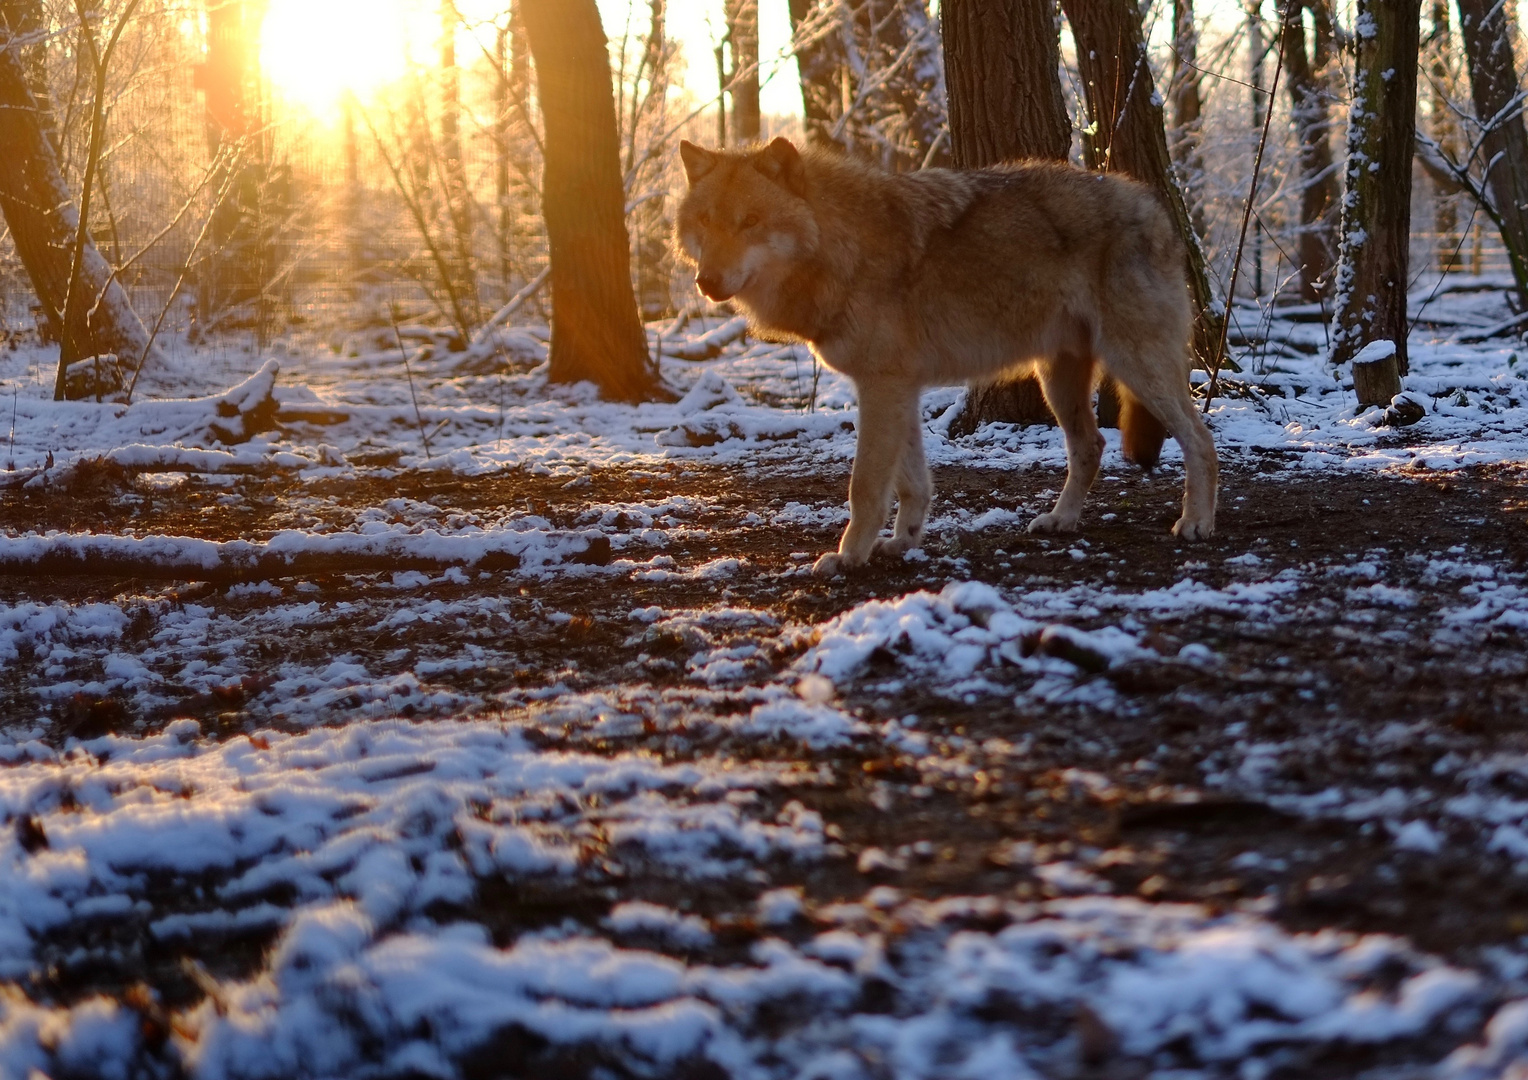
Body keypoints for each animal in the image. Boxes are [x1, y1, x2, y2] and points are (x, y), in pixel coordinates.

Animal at [678, 139, 1216, 577]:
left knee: (1200, 438)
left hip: (1135, 366)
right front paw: (901, 543)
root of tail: (1157, 207)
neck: (841, 246)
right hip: (1058, 382)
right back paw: (1061, 519)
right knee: (1091, 446)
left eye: (751, 222)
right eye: (705, 221)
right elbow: (912, 484)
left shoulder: (882, 386)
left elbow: (865, 486)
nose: (706, 282)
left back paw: (1196, 523)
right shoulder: (898, 388)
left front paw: (849, 557)